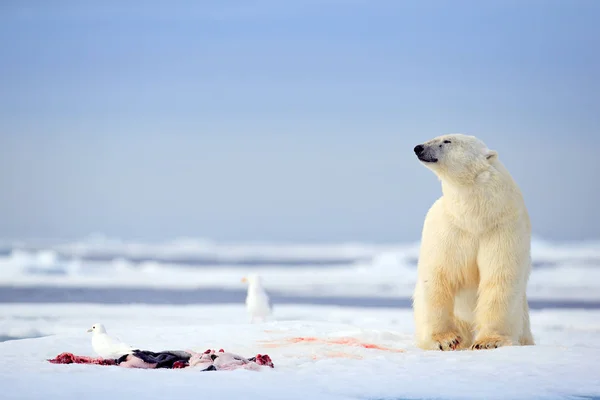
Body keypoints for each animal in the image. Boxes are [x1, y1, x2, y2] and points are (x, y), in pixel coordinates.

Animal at [412, 134, 536, 350]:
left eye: (447, 141)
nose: (418, 148)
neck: (475, 217)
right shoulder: (448, 230)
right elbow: (438, 275)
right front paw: (446, 340)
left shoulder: (503, 229)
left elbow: (500, 277)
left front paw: (489, 342)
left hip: (523, 316)